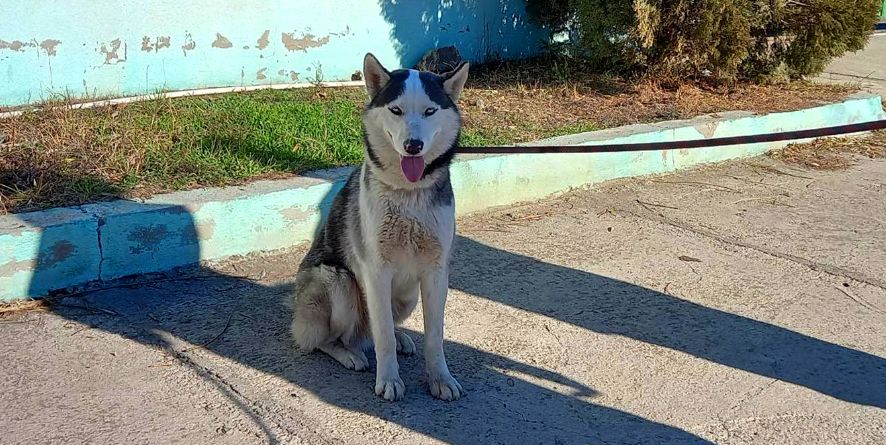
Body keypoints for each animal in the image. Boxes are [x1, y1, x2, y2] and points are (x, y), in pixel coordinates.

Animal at [292, 53, 472, 400]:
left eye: (430, 111)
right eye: (396, 110)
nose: (413, 145)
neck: (408, 193)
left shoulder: (435, 272)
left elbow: (434, 336)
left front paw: (439, 378)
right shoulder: (376, 271)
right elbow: (383, 336)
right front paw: (388, 379)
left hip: (408, 296)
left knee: (376, 329)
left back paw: (398, 337)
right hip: (338, 282)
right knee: (329, 339)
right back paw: (348, 353)